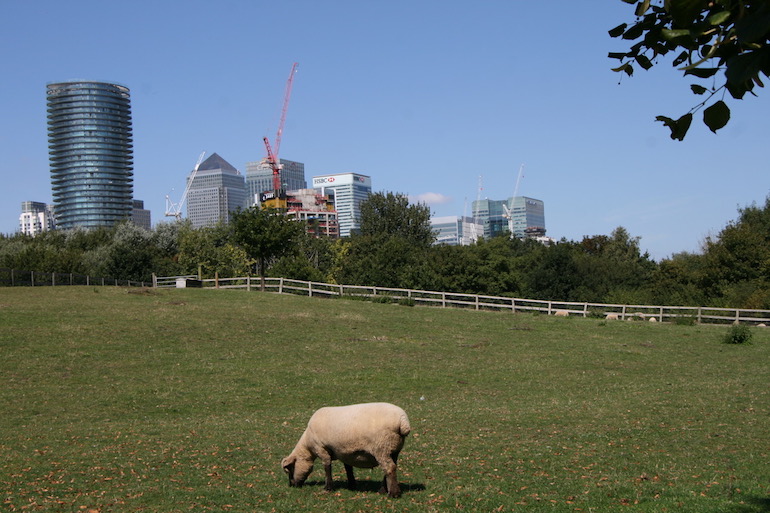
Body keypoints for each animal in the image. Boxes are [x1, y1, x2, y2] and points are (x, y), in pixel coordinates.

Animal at [278, 402, 408, 498]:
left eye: (290, 469)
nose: (292, 485)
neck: (308, 444)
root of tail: (403, 422)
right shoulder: (345, 451)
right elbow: (348, 468)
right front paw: (351, 485)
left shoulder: (322, 449)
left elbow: (327, 467)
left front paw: (328, 488)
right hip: (393, 449)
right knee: (392, 467)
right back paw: (383, 490)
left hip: (381, 447)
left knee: (389, 468)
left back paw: (393, 494)